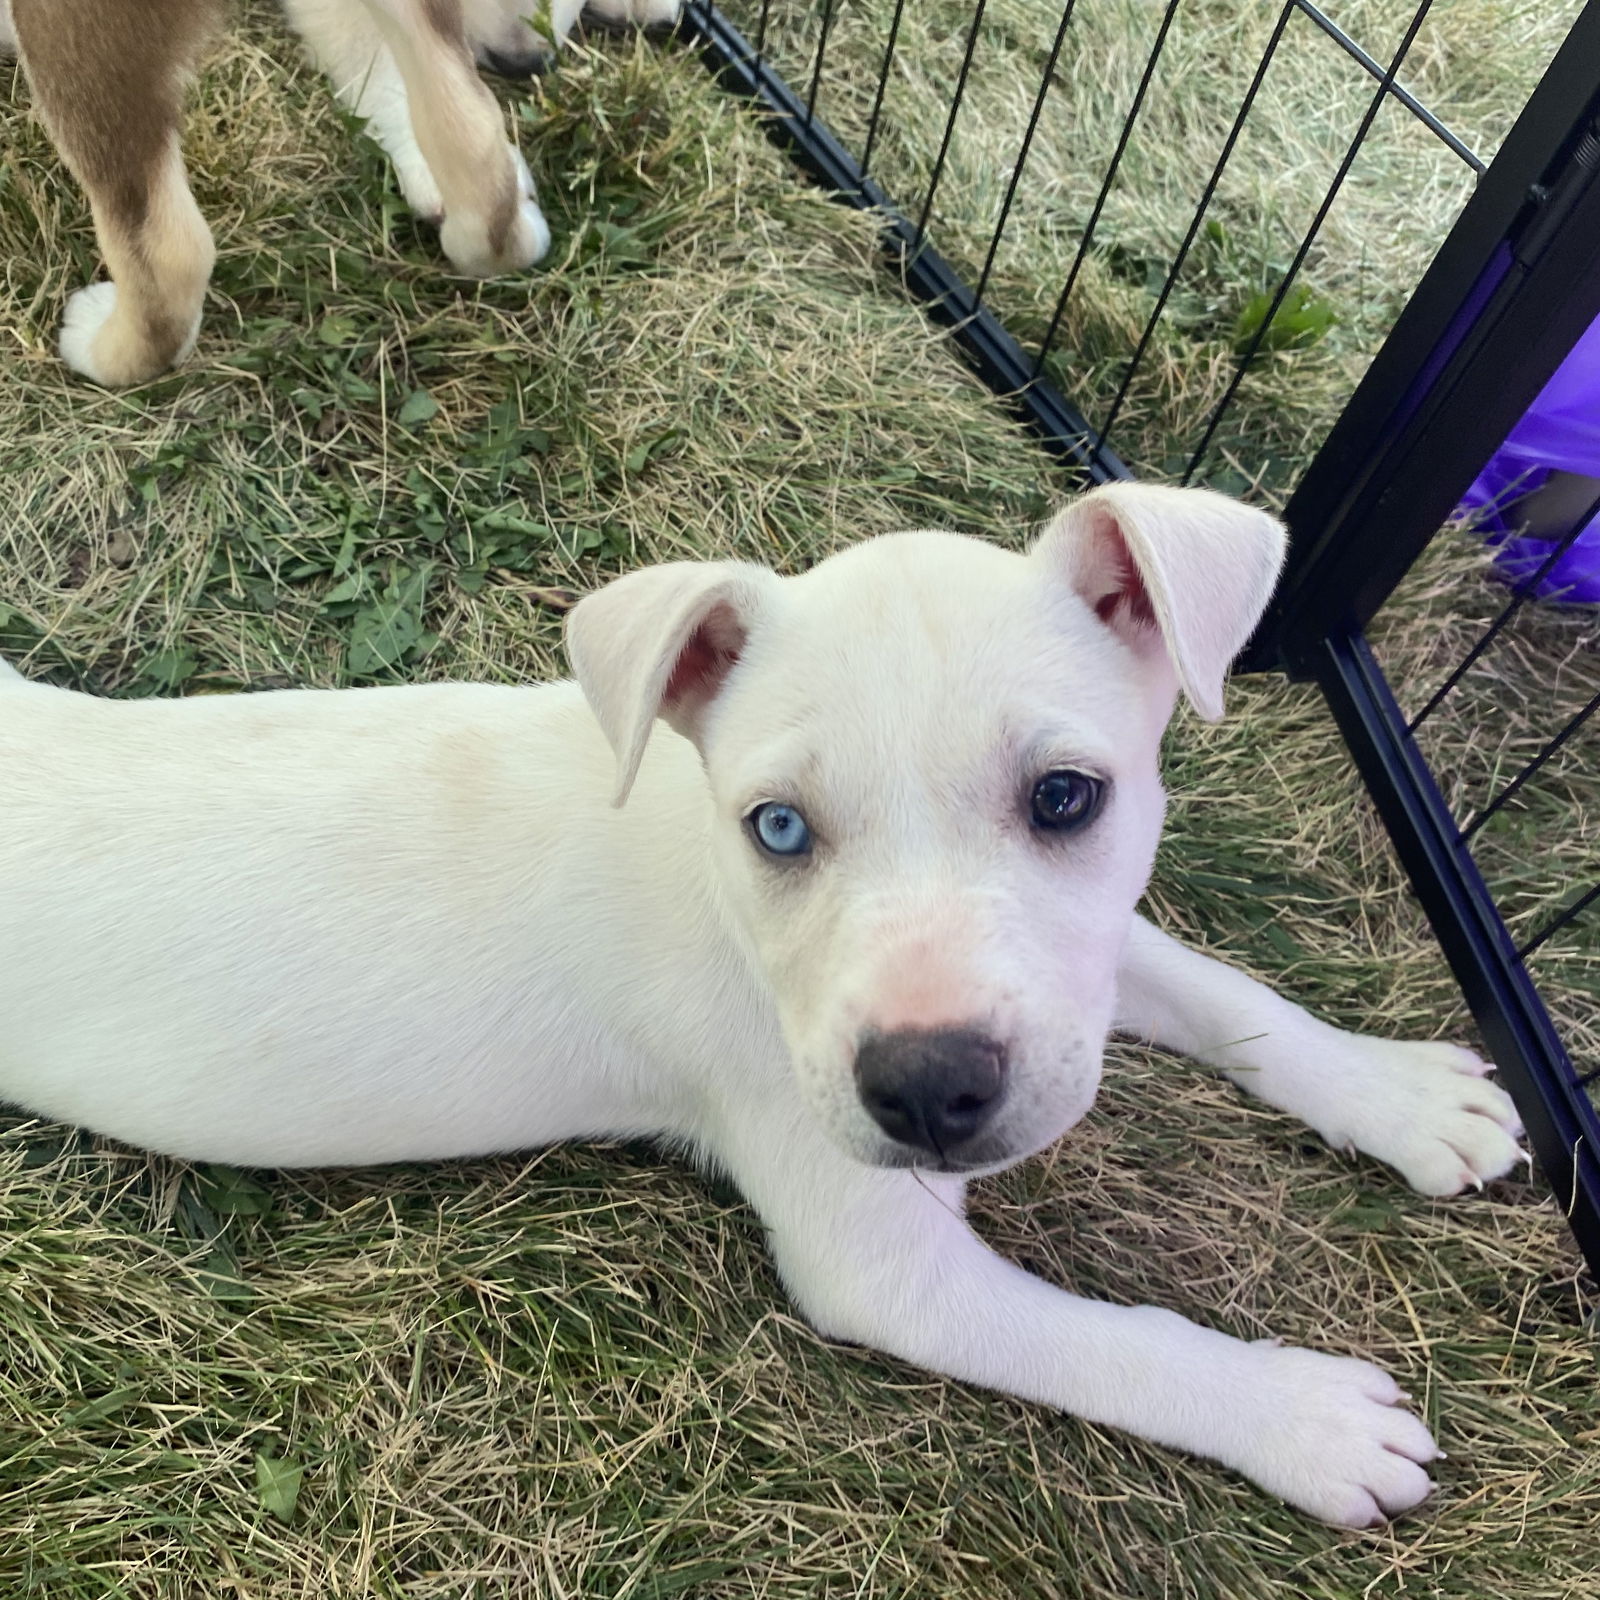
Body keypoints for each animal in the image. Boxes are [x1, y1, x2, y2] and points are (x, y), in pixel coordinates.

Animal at [0, 483, 1523, 1523]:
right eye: (779, 827)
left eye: (1066, 798)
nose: (927, 1089)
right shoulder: (881, 1262)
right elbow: (1113, 1341)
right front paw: (1299, 1414)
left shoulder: (1074, 976)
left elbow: (1217, 988)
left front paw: (1394, 1093)